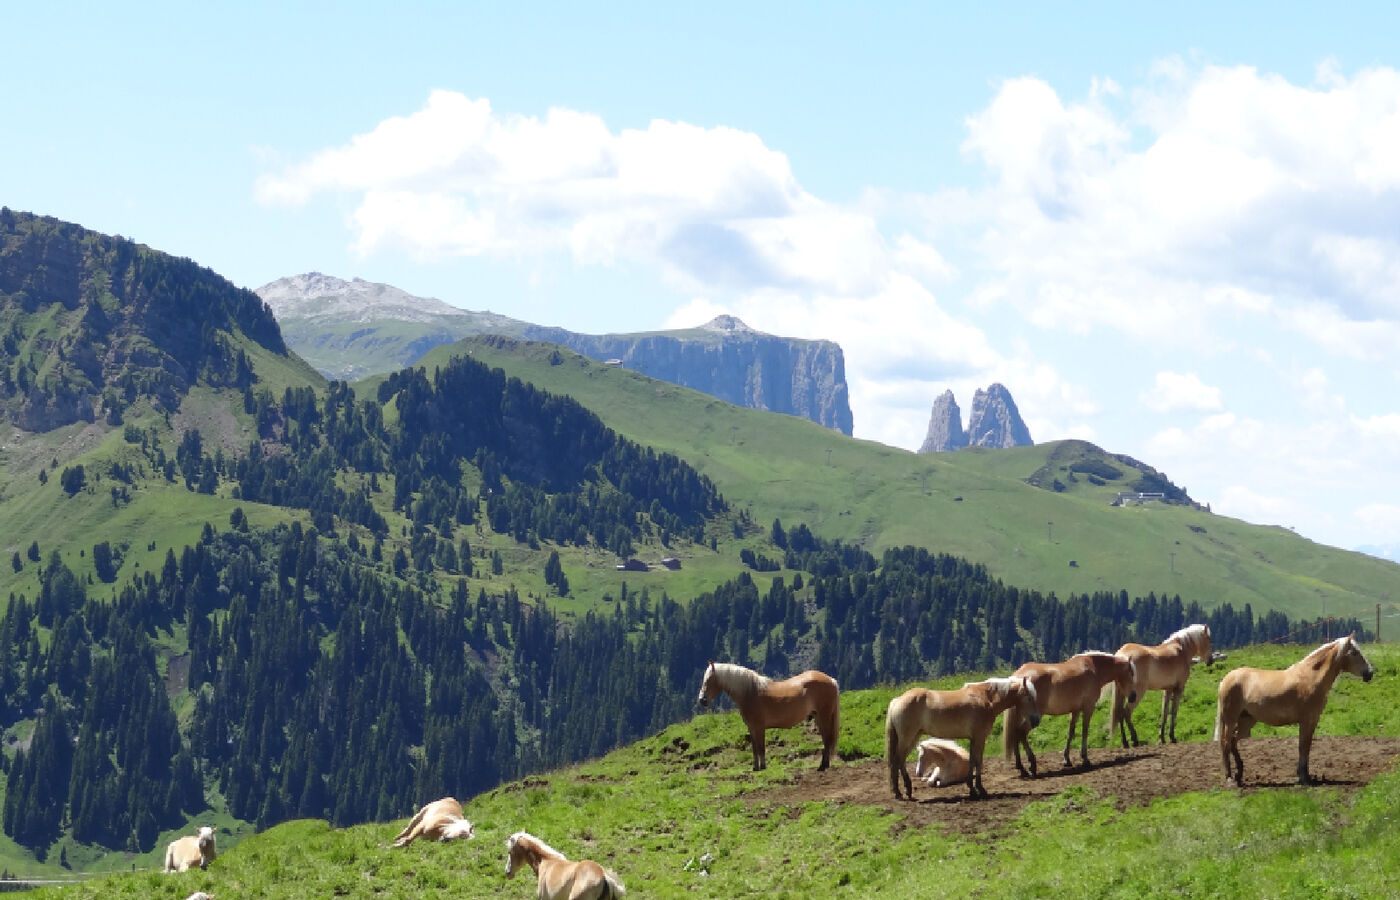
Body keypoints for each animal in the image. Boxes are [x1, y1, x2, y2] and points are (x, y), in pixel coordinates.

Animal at [694, 657, 834, 772]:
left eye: (709, 680)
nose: (702, 700)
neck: (750, 693)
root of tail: (830, 680)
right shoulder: (751, 728)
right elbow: (755, 748)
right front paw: (755, 767)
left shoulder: (759, 727)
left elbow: (761, 747)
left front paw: (763, 767)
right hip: (818, 716)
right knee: (825, 739)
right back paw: (825, 764)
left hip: (824, 716)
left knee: (827, 739)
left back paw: (823, 765)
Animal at [884, 677, 1041, 800]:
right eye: (1029, 697)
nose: (1036, 721)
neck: (986, 699)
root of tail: (897, 700)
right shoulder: (980, 738)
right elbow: (978, 762)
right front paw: (980, 789)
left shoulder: (973, 739)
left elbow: (972, 761)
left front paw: (972, 789)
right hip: (907, 738)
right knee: (897, 760)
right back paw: (901, 792)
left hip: (913, 737)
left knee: (899, 761)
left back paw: (902, 791)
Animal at [1002, 652, 1131, 778]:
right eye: (1130, 673)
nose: (1132, 696)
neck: (1094, 668)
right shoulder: (1088, 708)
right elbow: (1085, 731)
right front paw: (1085, 759)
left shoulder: (1075, 711)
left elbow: (1071, 732)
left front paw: (1067, 759)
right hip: (1033, 718)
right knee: (1021, 733)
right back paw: (1031, 765)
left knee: (1015, 733)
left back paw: (1021, 768)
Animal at [1215, 632, 1377, 789]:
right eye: (1354, 653)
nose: (1370, 673)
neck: (1311, 678)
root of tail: (1226, 679)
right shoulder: (1306, 720)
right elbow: (1303, 746)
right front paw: (1304, 778)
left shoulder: (1313, 720)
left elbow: (1306, 746)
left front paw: (1306, 776)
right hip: (1231, 719)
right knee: (1225, 743)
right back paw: (1230, 779)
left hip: (1246, 721)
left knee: (1233, 741)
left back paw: (1239, 774)